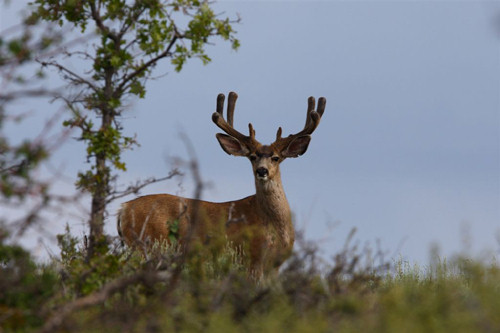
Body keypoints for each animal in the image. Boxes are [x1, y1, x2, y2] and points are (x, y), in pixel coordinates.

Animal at [118, 91, 326, 274]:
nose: (261, 170)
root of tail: (123, 209)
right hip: (147, 246)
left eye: (275, 158)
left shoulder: (274, 266)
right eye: (252, 156)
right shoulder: (252, 258)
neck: (275, 228)